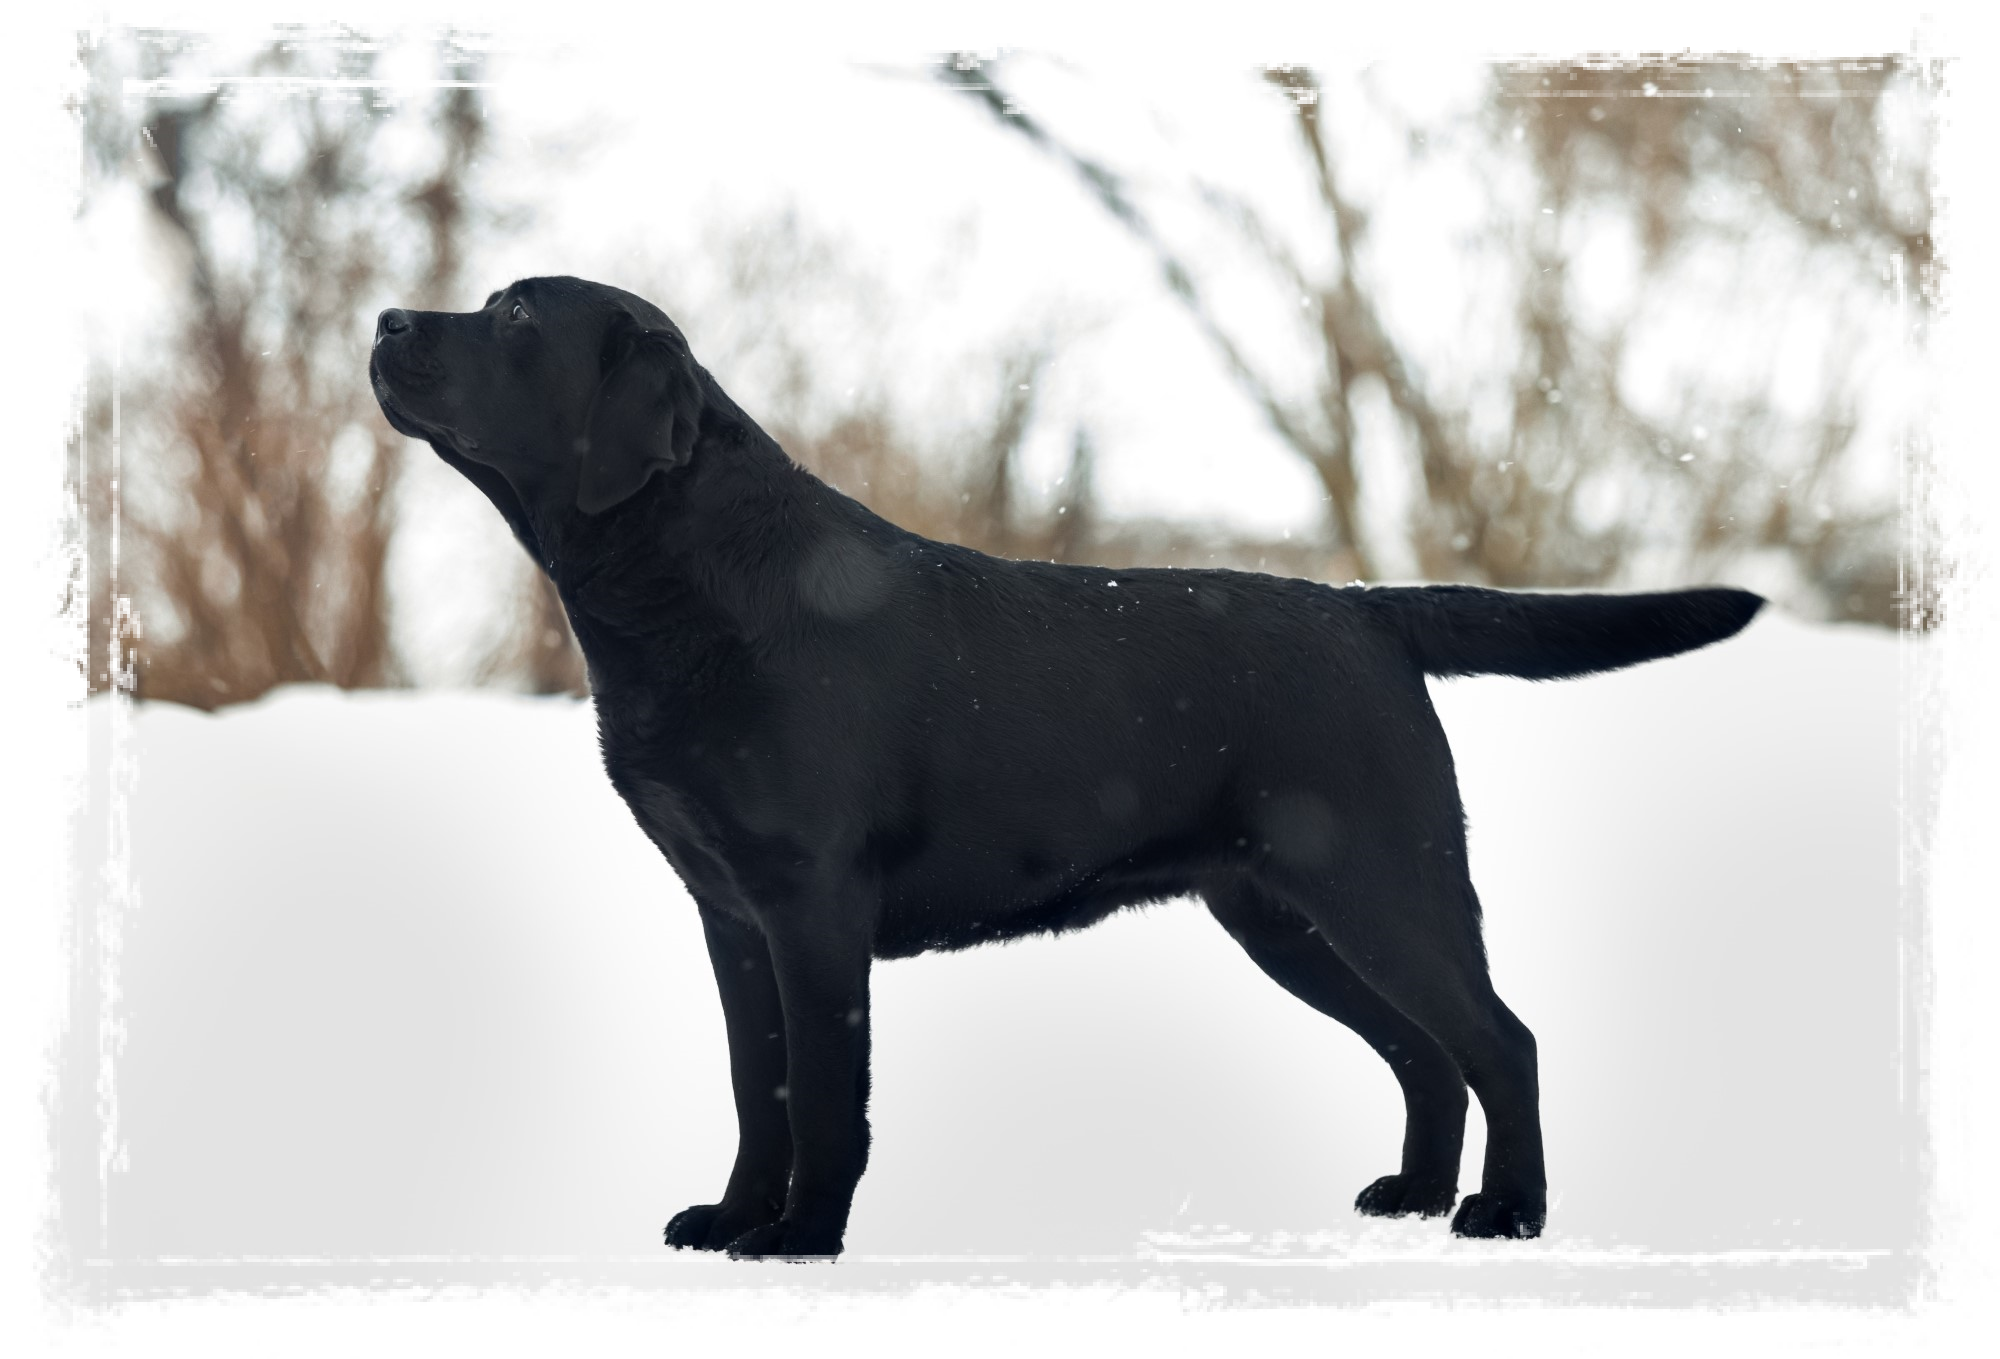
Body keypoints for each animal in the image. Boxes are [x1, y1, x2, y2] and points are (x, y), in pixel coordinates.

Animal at [369, 276, 1760, 1262]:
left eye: (513, 314)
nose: (383, 317)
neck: (690, 588)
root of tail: (1366, 610)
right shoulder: (728, 915)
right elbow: (754, 1090)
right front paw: (730, 1221)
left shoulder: (811, 906)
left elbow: (822, 1099)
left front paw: (800, 1242)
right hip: (1282, 918)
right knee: (1426, 1057)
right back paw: (1415, 1196)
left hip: (1386, 885)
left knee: (1499, 1042)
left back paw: (1505, 1214)